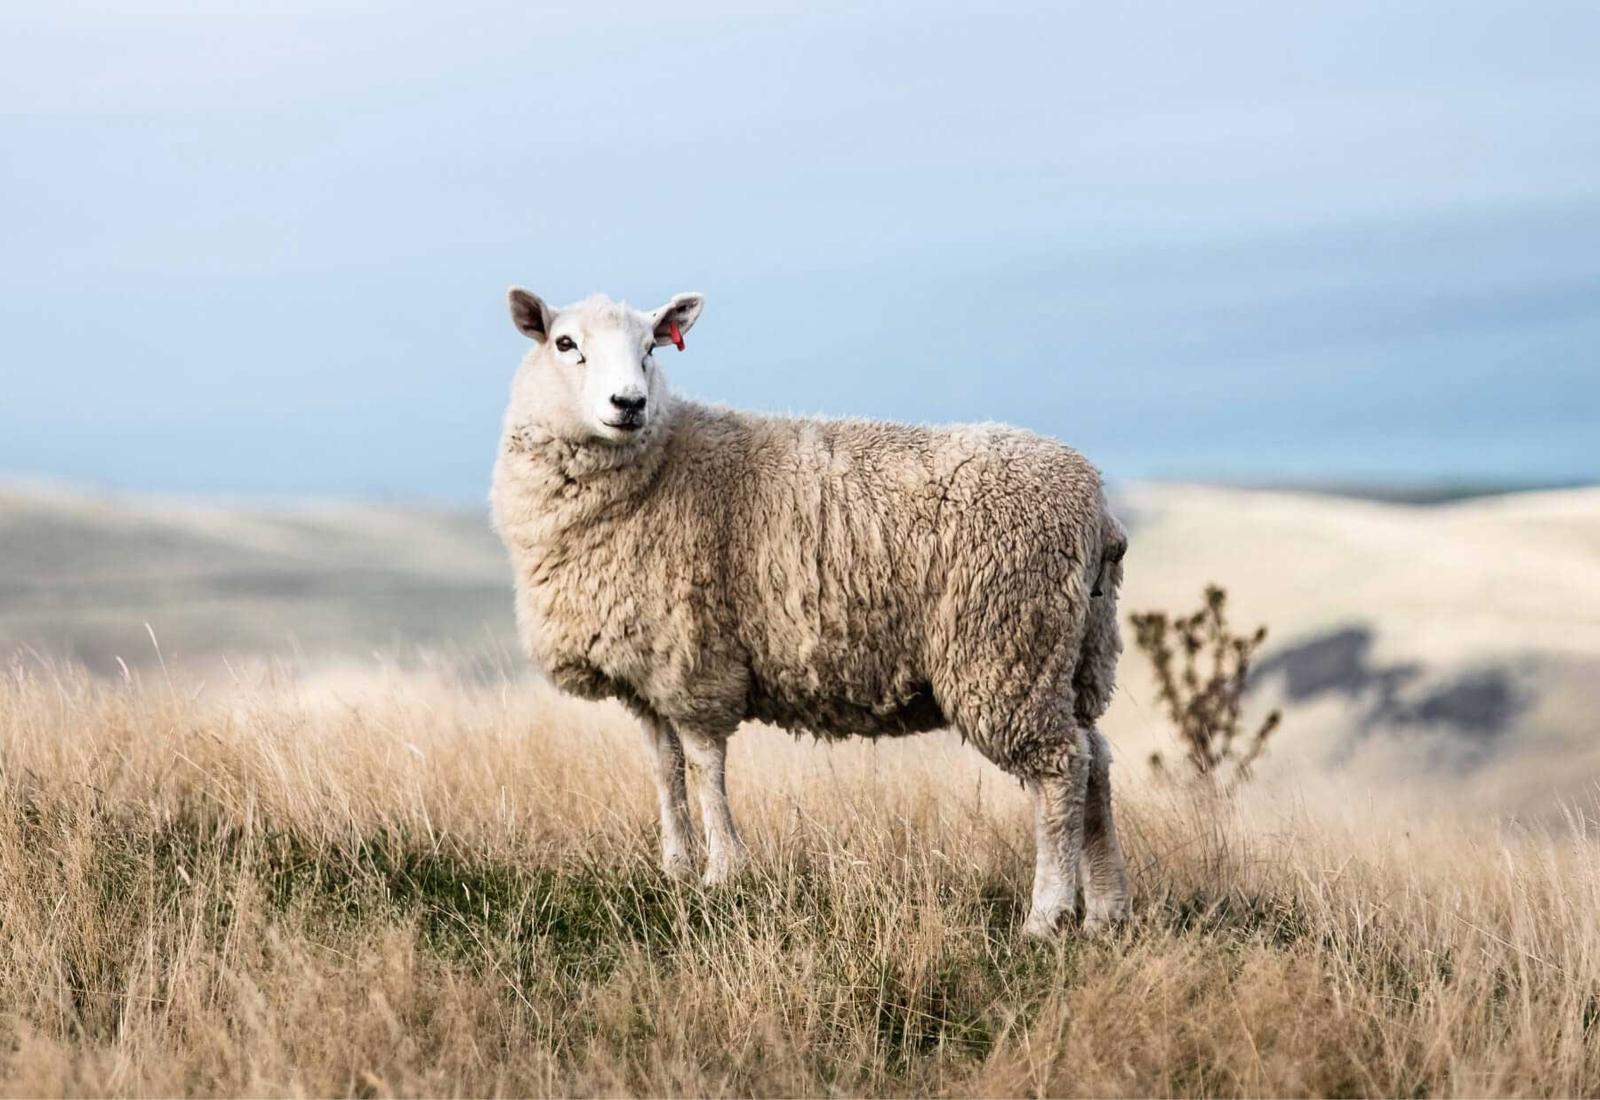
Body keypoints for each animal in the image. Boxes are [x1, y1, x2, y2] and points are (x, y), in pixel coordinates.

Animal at [492, 287, 1132, 933]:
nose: (629, 403)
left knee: (1060, 770)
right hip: (1073, 654)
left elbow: (703, 766)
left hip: (1006, 649)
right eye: (565, 343)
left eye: (651, 347)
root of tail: (1097, 508)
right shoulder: (647, 673)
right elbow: (664, 769)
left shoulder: (697, 662)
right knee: (1096, 760)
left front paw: (722, 873)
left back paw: (1047, 915)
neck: (661, 464)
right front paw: (674, 868)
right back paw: (1106, 910)